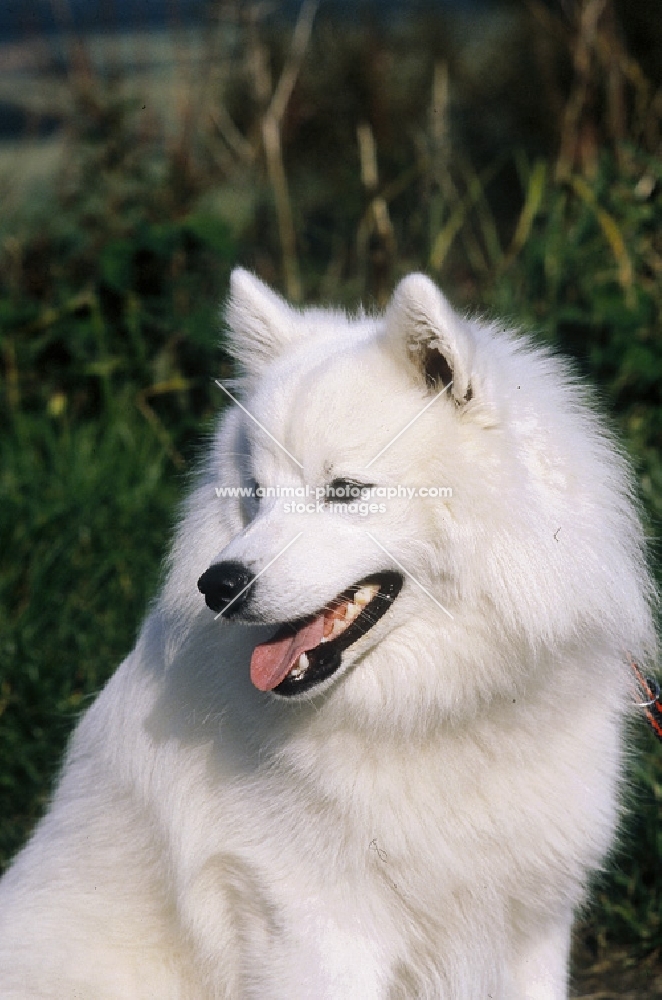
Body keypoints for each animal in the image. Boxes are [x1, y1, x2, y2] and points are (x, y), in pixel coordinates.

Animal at [0, 270, 656, 996]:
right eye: (255, 495)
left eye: (344, 490)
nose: (218, 585)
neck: (433, 711)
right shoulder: (317, 930)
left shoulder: (533, 929)